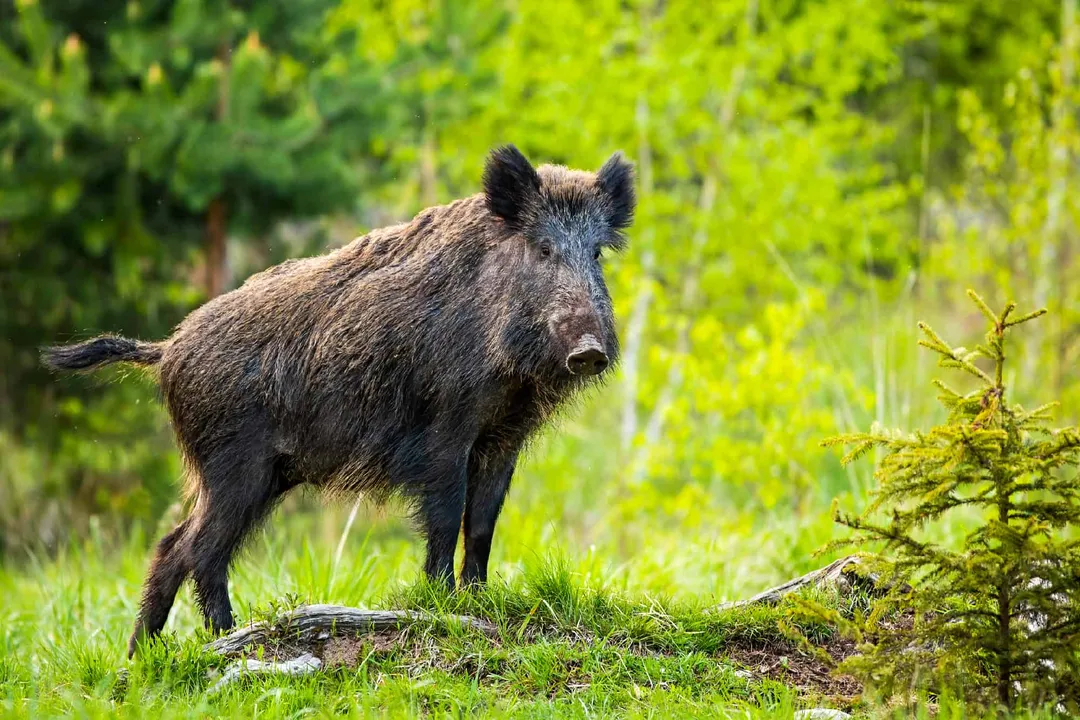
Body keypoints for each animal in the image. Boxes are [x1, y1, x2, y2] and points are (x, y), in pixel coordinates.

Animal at [42, 145, 635, 657]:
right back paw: (227, 639)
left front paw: (479, 603)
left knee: (174, 546)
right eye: (543, 248)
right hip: (235, 465)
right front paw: (443, 607)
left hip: (259, 474)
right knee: (198, 550)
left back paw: (143, 658)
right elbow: (446, 518)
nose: (589, 349)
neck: (508, 373)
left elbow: (484, 524)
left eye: (597, 253)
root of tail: (166, 350)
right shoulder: (445, 429)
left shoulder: (502, 437)